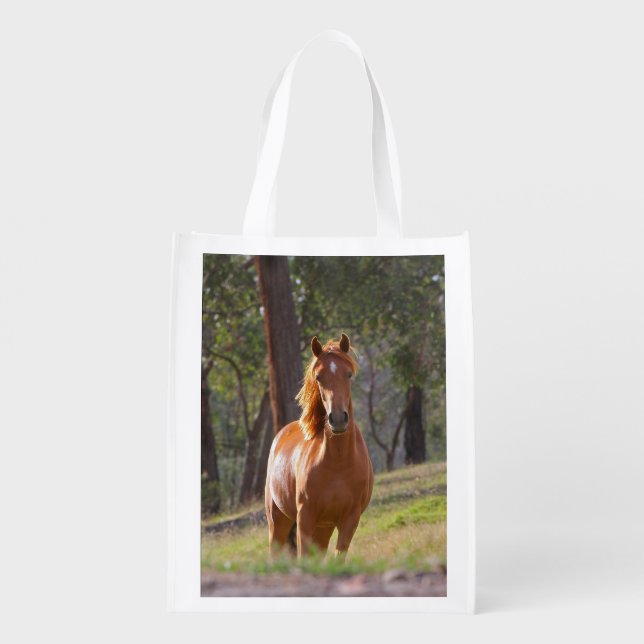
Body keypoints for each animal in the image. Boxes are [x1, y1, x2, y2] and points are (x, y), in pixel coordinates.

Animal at [264, 333, 374, 559]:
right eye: (319, 377)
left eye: (348, 374)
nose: (338, 419)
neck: (338, 463)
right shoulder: (305, 517)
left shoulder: (349, 521)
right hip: (278, 521)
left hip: (324, 528)